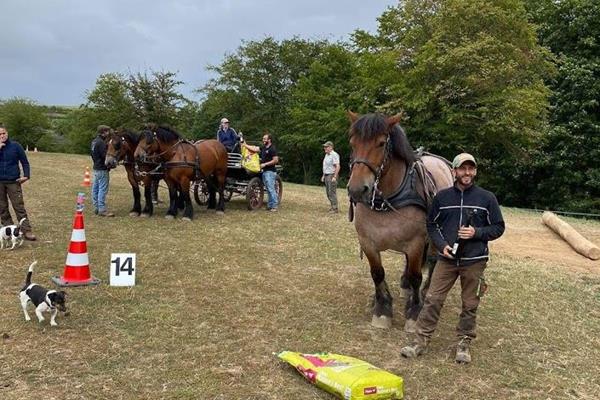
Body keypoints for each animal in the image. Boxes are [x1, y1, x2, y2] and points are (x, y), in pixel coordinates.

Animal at [344, 111, 452, 332]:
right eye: (352, 143)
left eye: (381, 143)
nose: (357, 189)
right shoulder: (367, 242)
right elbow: (377, 273)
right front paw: (382, 308)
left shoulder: (416, 242)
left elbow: (416, 275)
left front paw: (414, 312)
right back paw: (405, 287)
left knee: (432, 262)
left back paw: (425, 292)